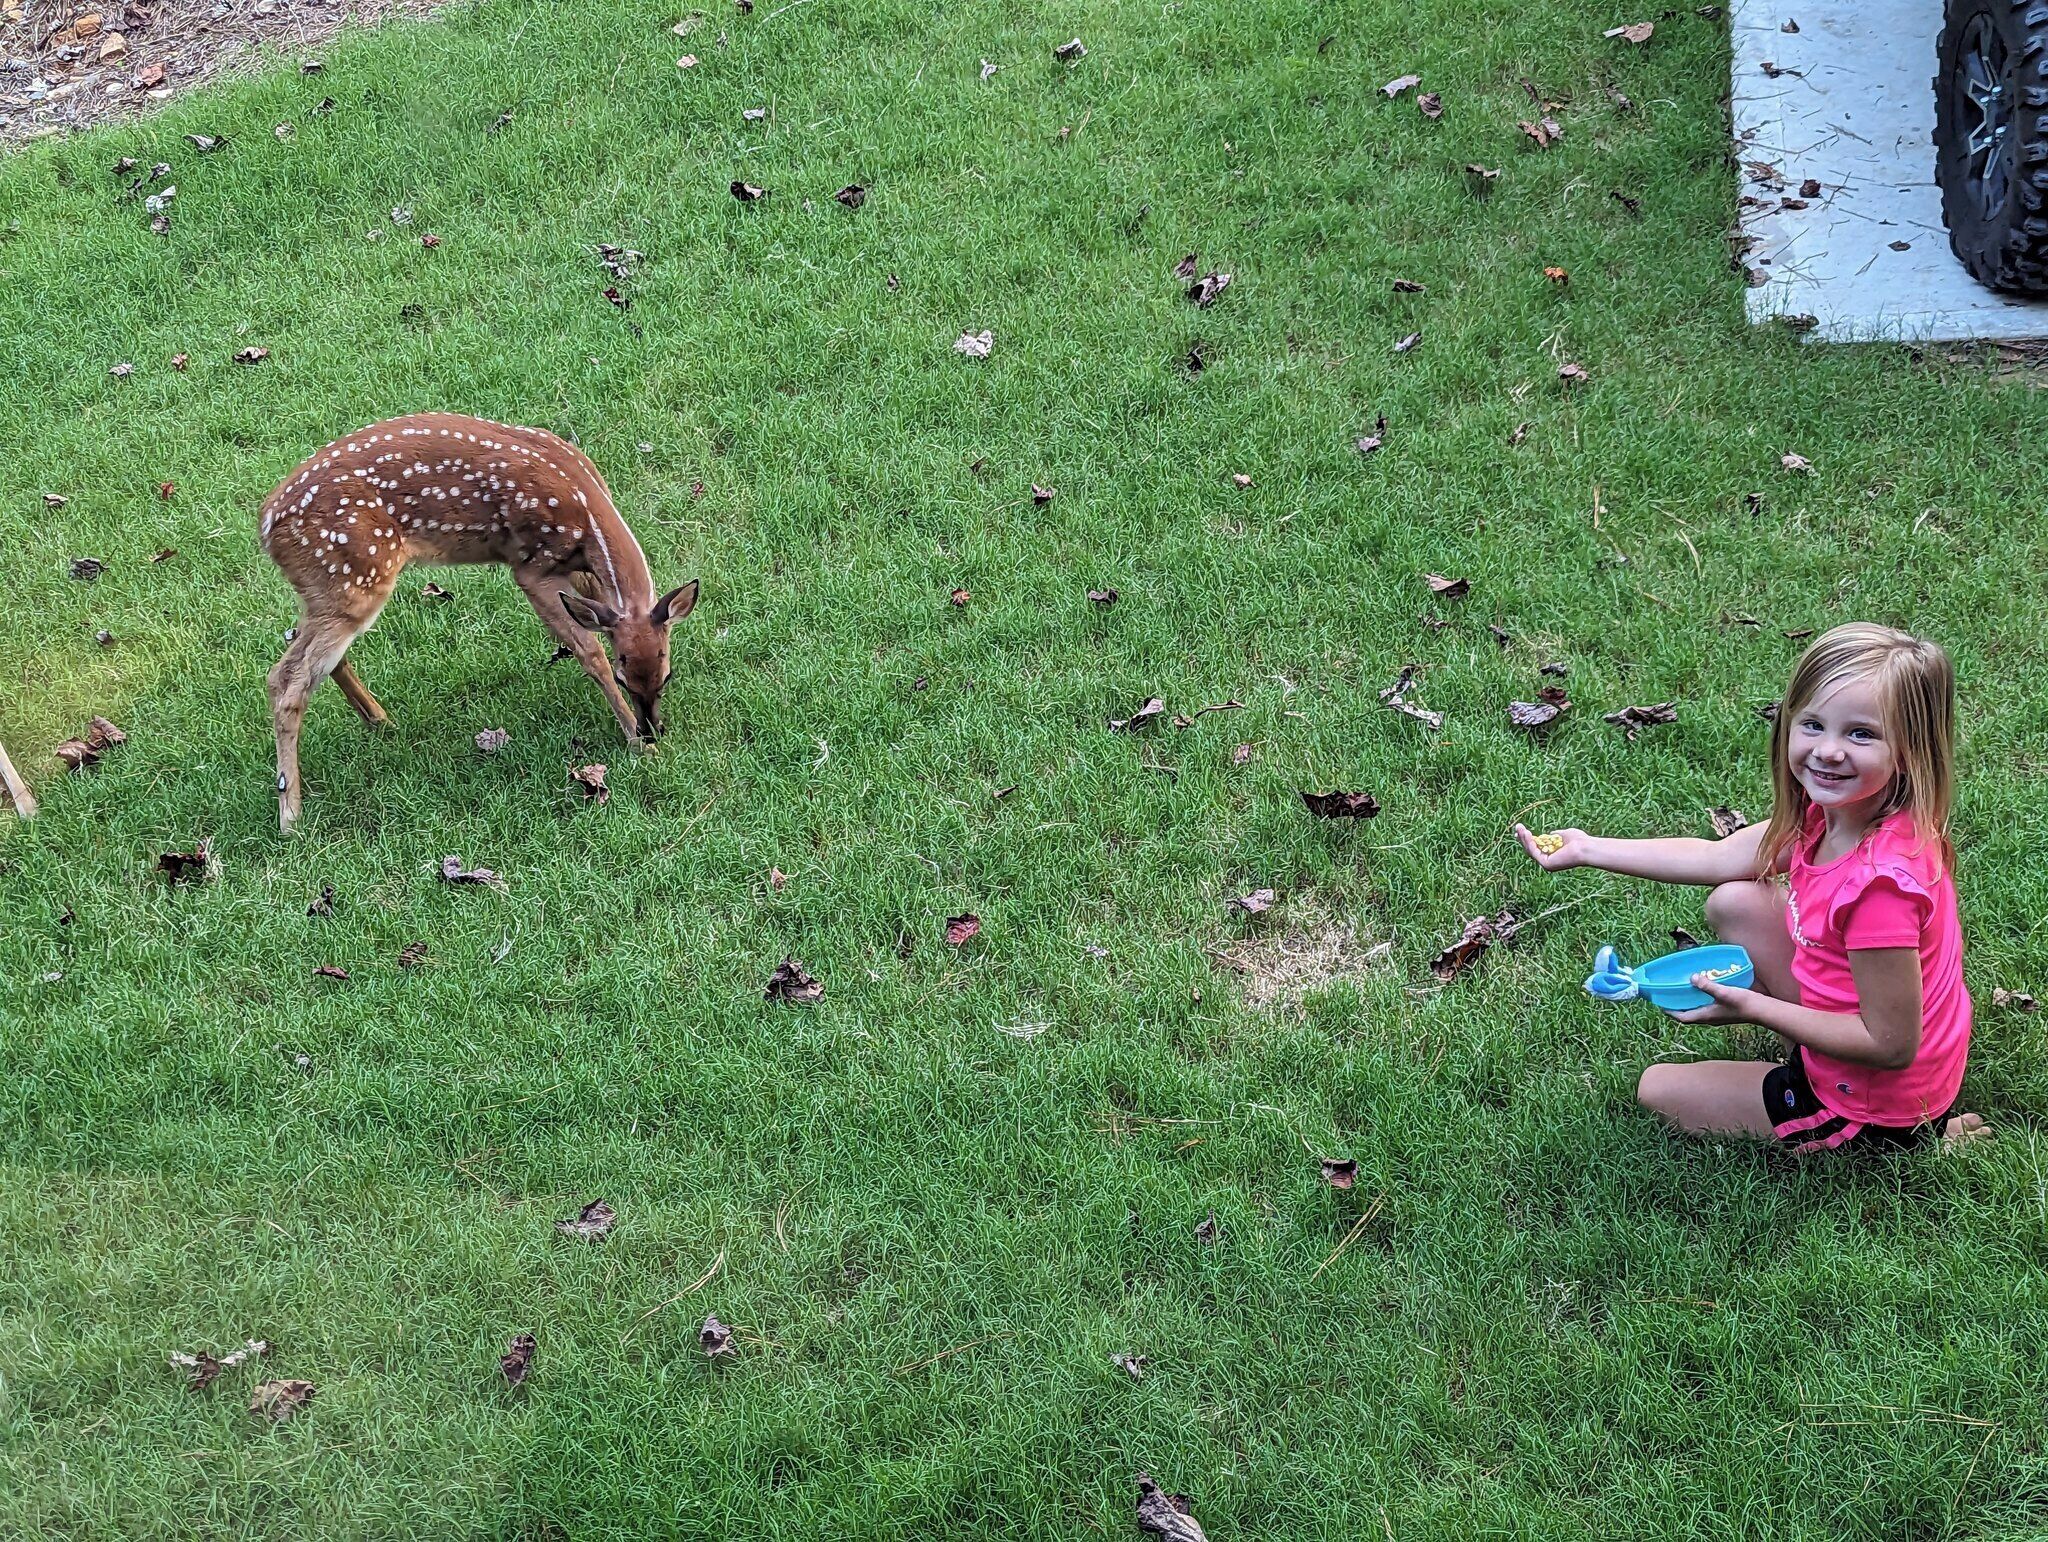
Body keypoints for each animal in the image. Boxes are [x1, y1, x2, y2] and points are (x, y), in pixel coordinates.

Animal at [258, 411, 698, 831]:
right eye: (624, 680)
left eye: (668, 675)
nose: (652, 727)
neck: (586, 514)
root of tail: (266, 527)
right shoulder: (530, 566)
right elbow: (590, 653)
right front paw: (637, 744)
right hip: (353, 576)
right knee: (286, 677)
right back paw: (290, 816)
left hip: (329, 592)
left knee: (308, 652)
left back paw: (380, 722)